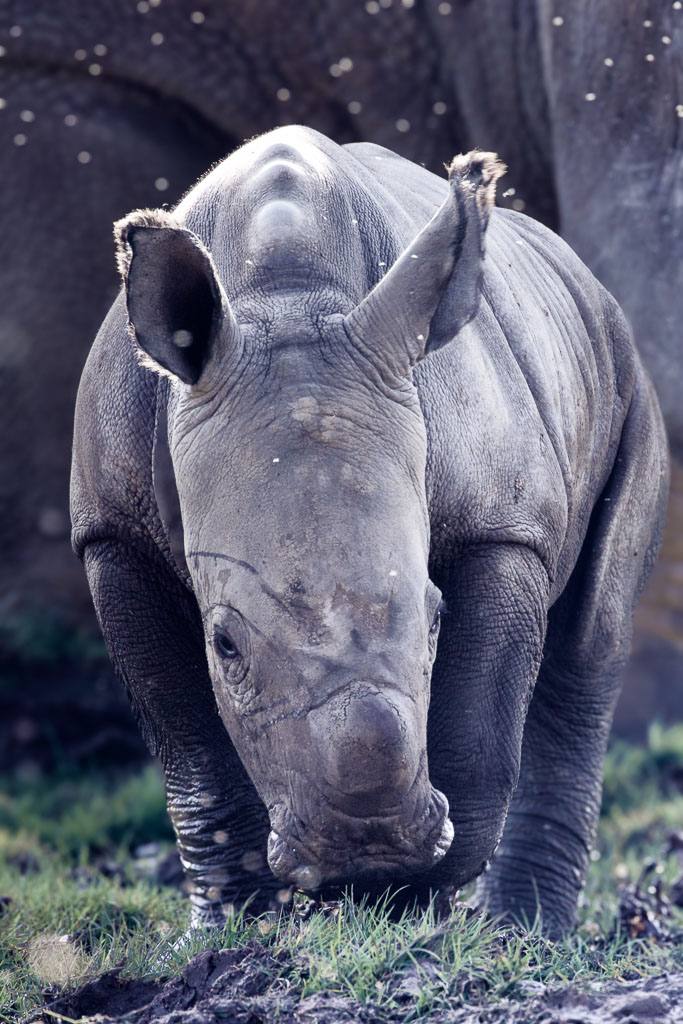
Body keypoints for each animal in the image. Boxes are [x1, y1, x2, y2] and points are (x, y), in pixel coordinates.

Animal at [71, 126, 667, 936]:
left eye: (436, 619)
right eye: (225, 646)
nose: (368, 843)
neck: (285, 301)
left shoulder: (503, 526)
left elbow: (475, 735)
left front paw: (404, 903)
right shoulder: (112, 532)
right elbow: (189, 747)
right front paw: (234, 927)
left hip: (627, 374)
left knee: (588, 642)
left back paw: (526, 933)